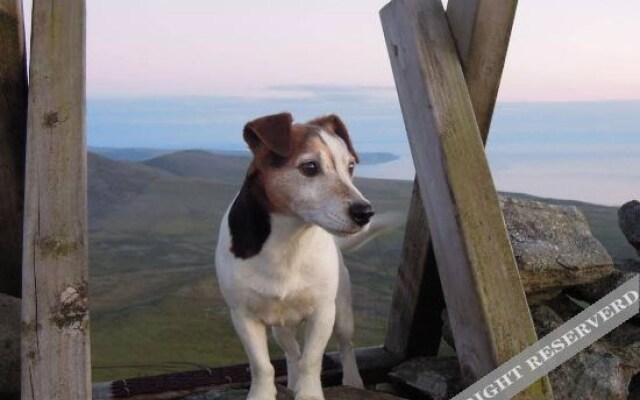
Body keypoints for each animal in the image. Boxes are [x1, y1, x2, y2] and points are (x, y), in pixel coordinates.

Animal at [216, 111, 384, 400]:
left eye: (350, 167)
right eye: (310, 167)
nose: (365, 212)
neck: (288, 241)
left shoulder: (323, 312)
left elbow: (311, 360)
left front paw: (308, 393)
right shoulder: (244, 316)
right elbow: (262, 365)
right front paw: (263, 394)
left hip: (342, 313)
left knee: (346, 345)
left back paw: (352, 381)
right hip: (279, 327)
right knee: (292, 352)